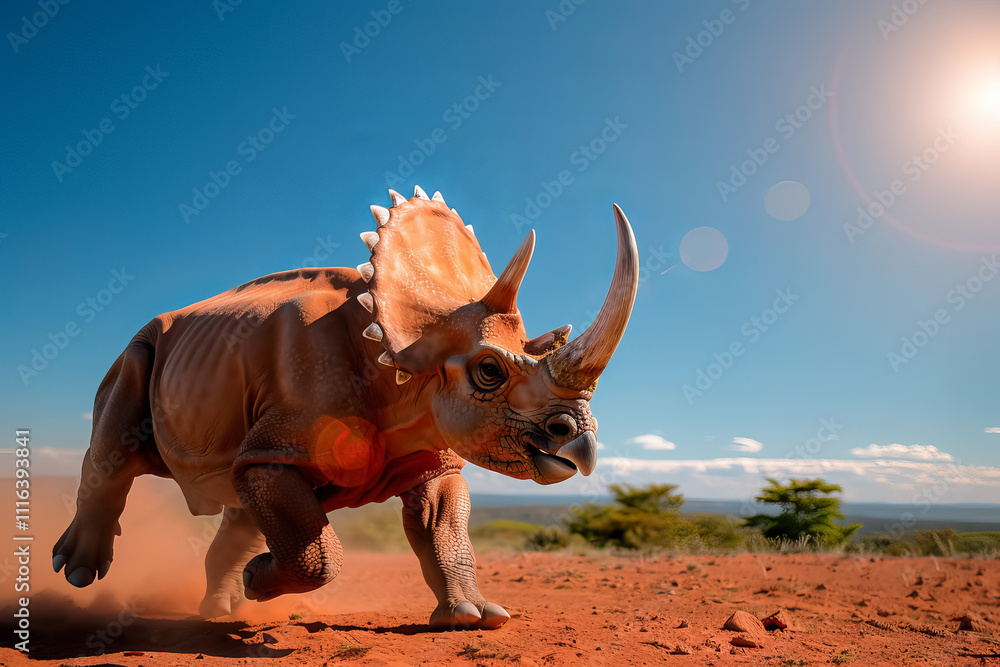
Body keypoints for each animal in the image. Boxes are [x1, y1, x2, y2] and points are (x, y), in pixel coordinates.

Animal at [53, 186, 639, 629]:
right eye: (489, 372)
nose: (580, 443)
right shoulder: (285, 440)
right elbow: (319, 554)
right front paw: (259, 580)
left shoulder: (432, 448)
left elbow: (441, 523)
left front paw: (474, 617)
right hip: (142, 346)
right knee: (118, 437)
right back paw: (80, 572)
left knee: (240, 503)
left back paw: (221, 611)